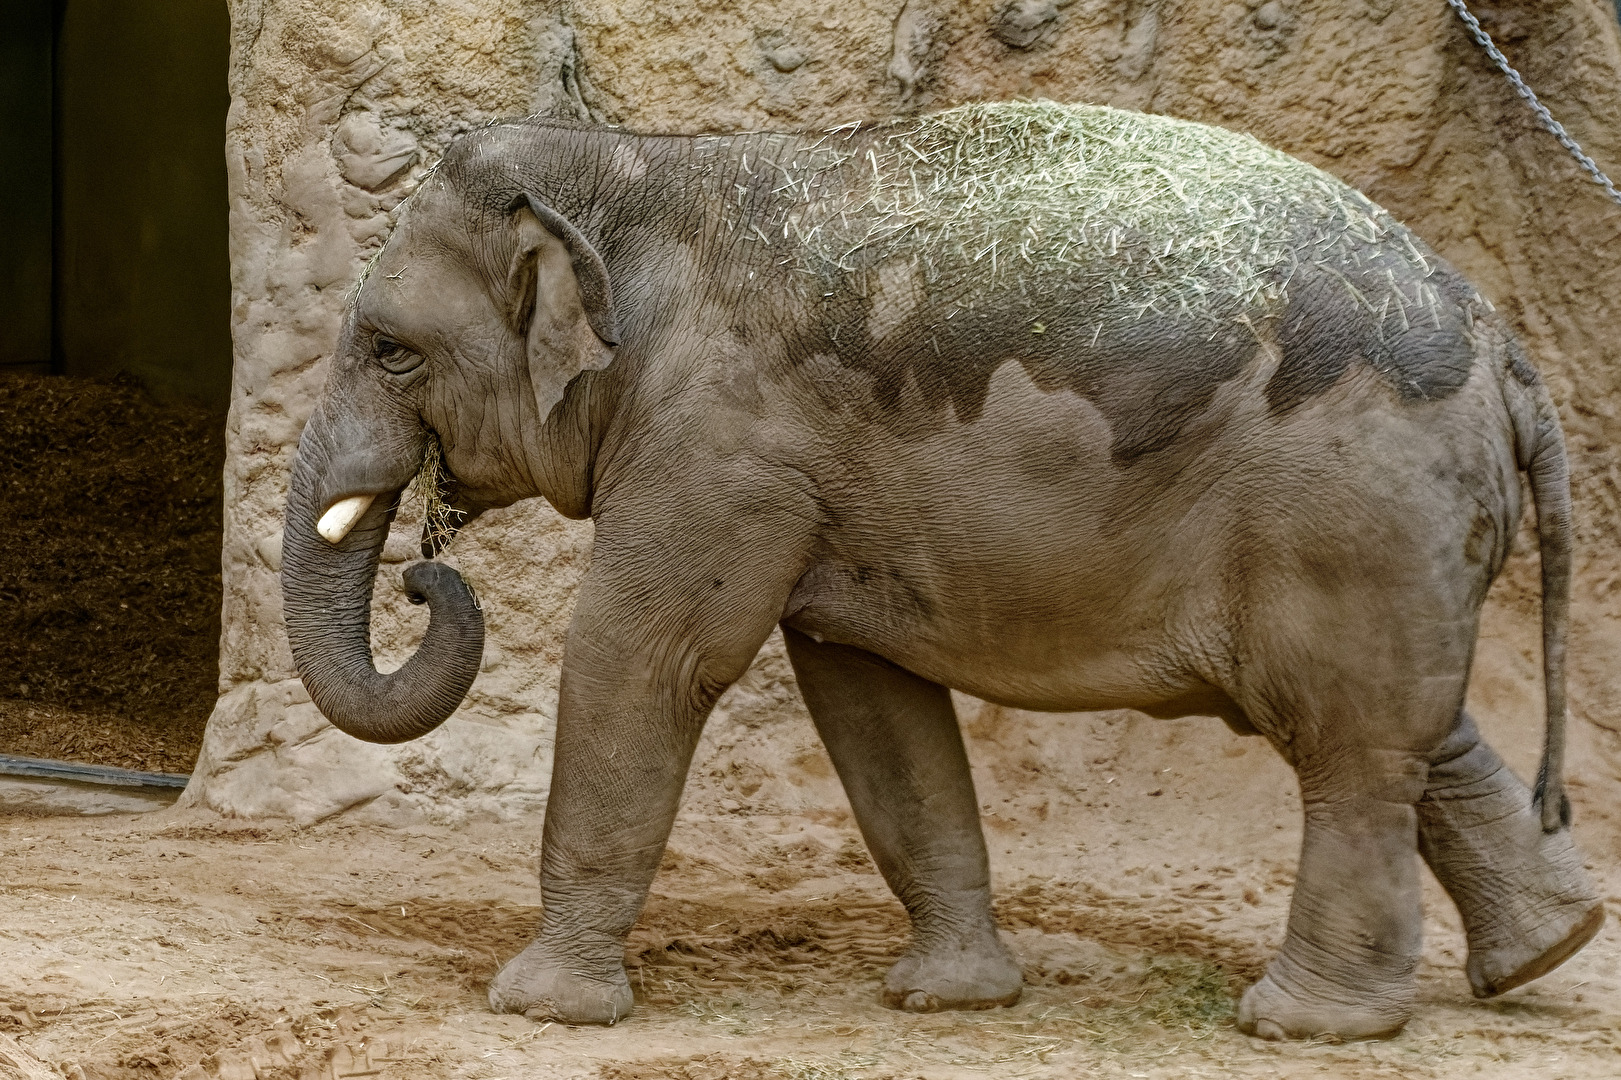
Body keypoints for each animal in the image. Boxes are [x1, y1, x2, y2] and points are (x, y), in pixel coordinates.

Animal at [281, 101, 1603, 1040]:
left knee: (1345, 744)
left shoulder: (723, 439)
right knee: (1414, 728)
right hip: (1397, 532)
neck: (641, 163)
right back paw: (1548, 950)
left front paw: (539, 1008)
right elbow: (869, 698)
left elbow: (643, 657)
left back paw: (1305, 1023)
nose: (423, 574)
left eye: (390, 352)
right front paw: (949, 998)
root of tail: (1509, 355)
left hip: (1348, 510)